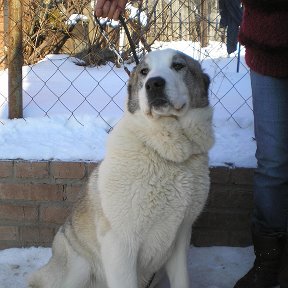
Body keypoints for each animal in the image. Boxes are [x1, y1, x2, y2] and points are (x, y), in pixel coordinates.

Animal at [28, 49, 214, 288]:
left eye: (178, 66)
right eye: (144, 71)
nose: (154, 83)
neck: (168, 155)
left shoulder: (180, 239)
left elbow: (182, 279)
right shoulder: (120, 245)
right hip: (80, 268)